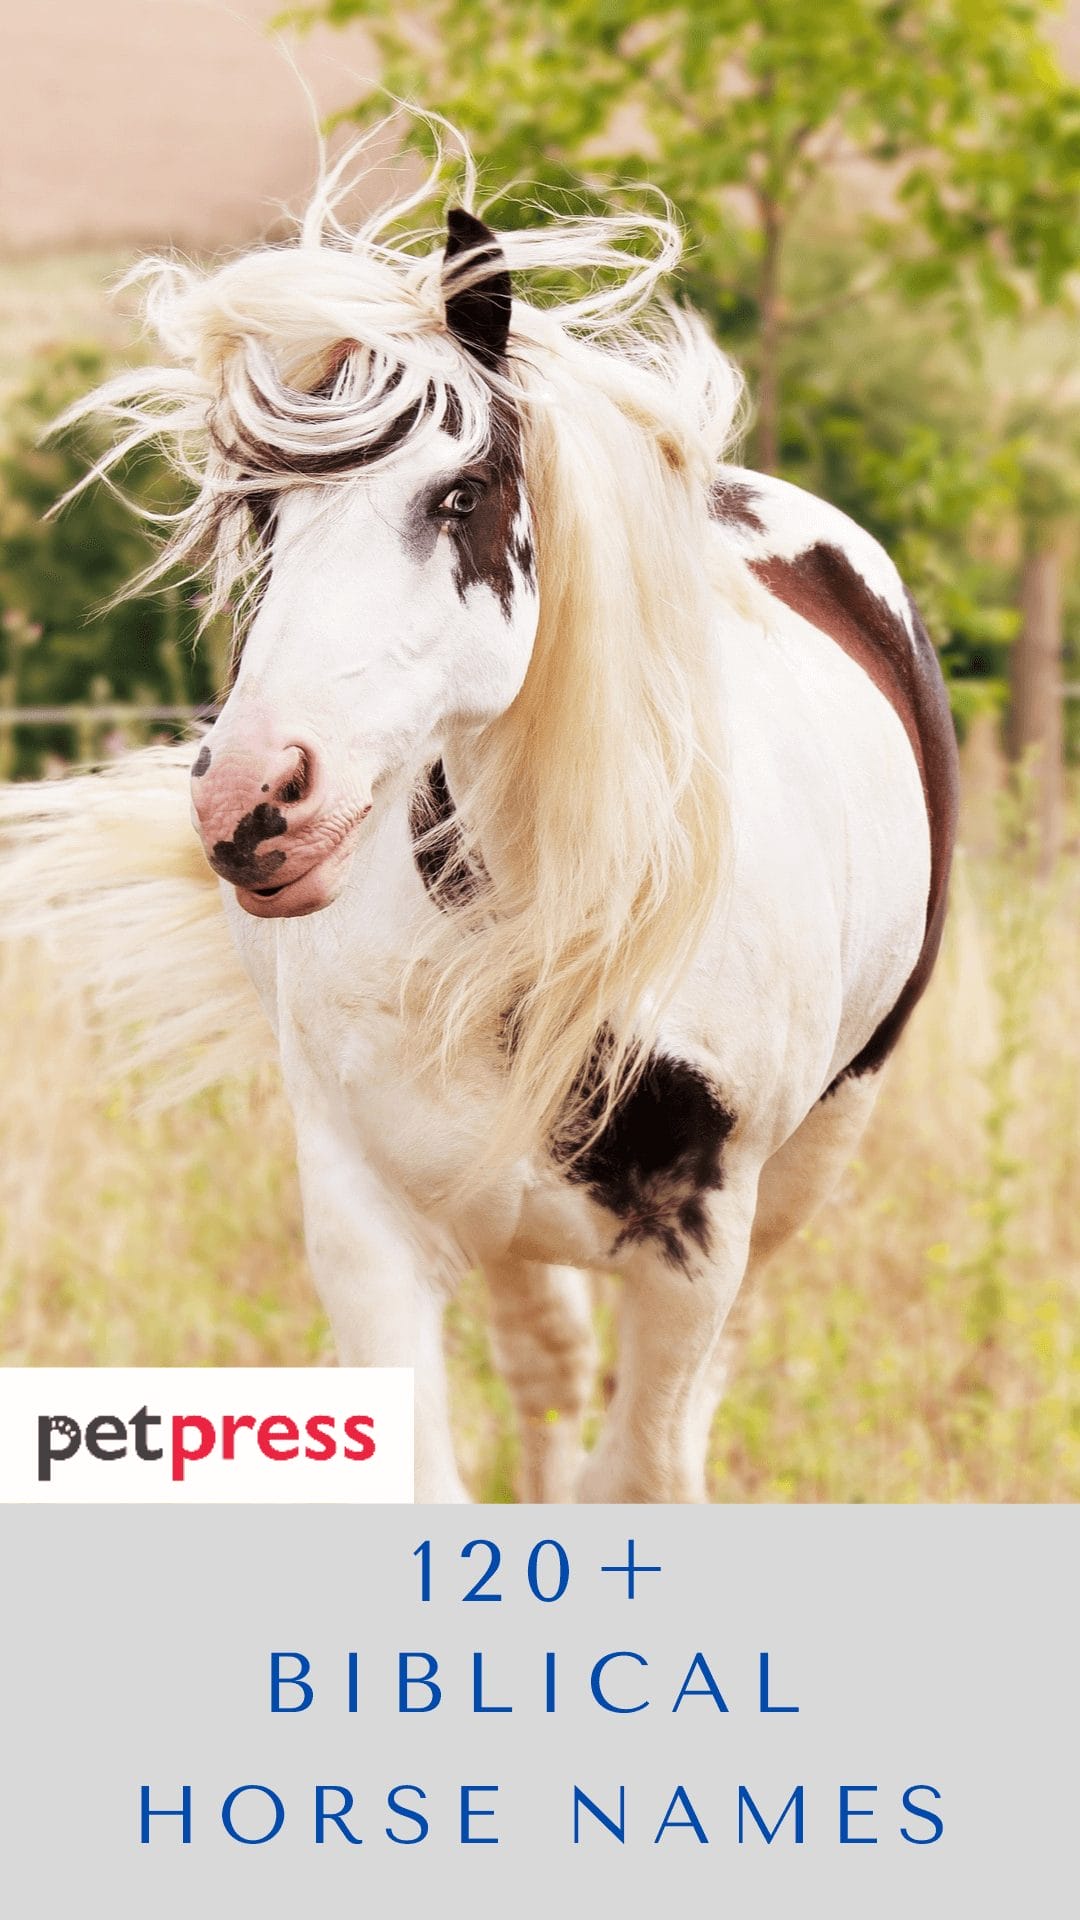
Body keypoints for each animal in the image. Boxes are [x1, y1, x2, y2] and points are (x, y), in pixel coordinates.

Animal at [0, 136, 958, 1504]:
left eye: (462, 494)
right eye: (259, 514)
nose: (254, 801)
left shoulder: (696, 1247)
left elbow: (645, 1469)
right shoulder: (367, 1222)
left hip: (810, 1161)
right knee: (546, 1365)